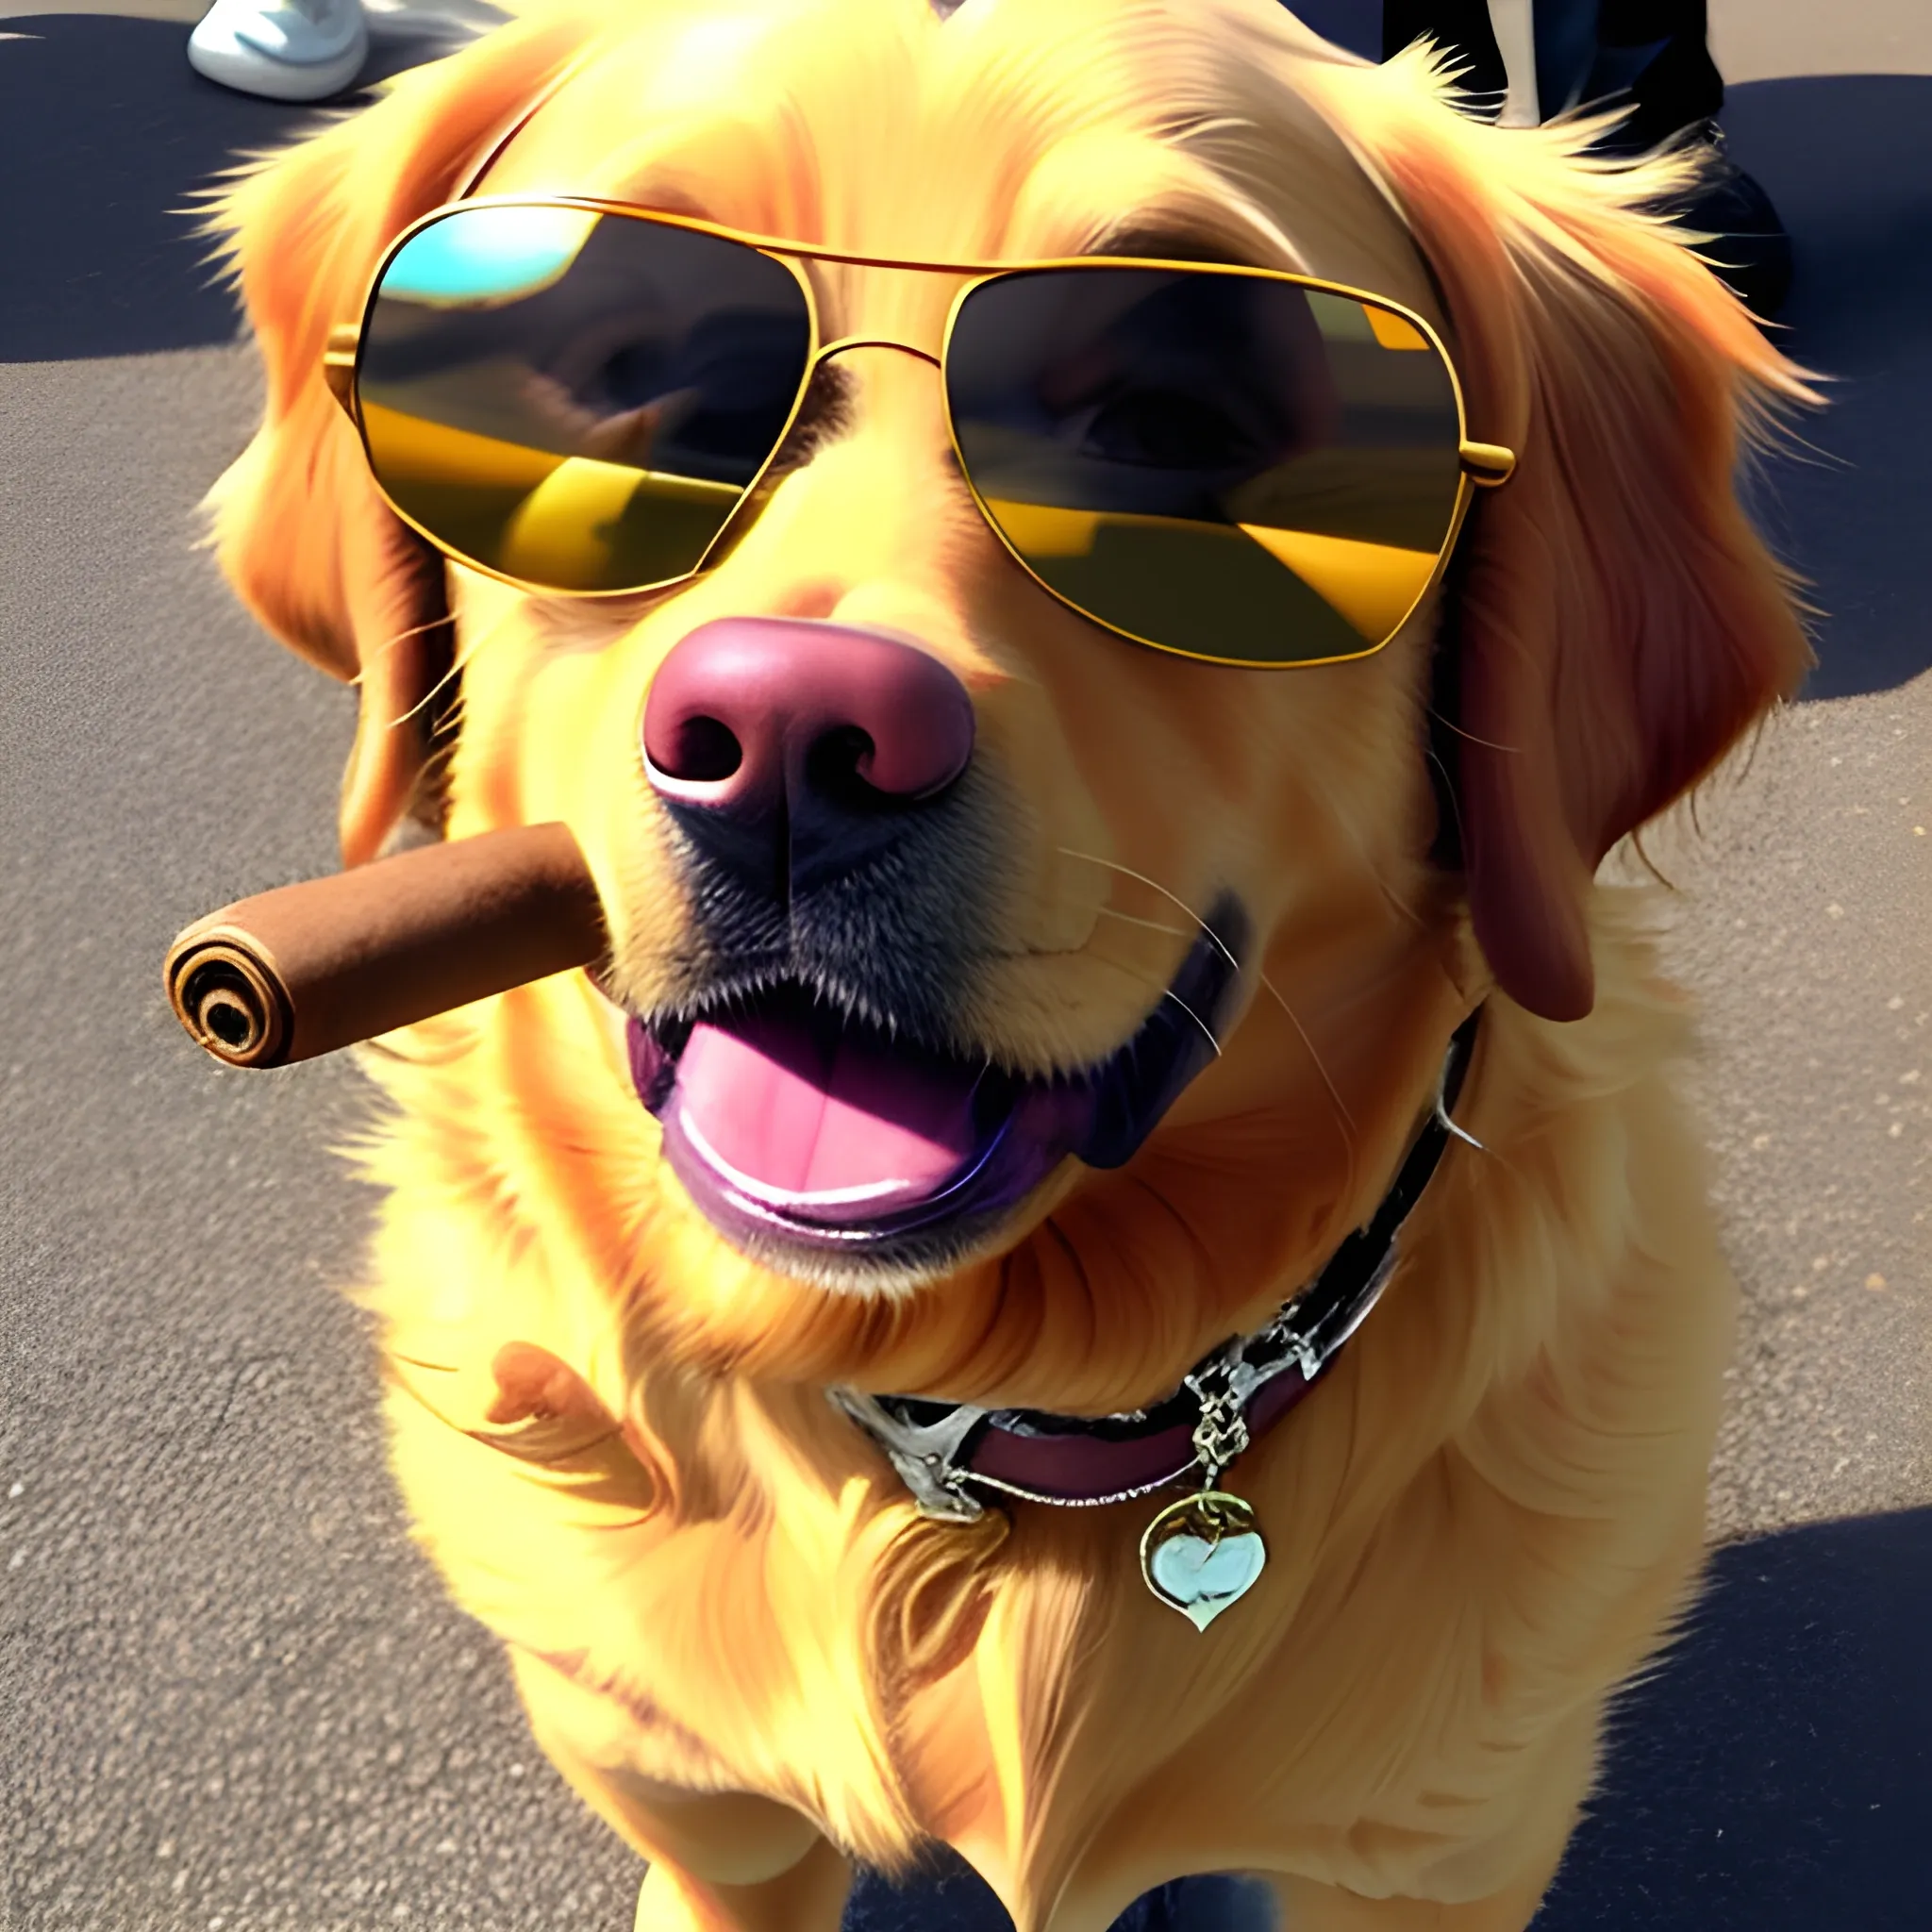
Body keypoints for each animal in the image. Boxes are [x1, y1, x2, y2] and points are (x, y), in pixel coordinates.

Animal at [208, 0, 1807, 1924]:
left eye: (1172, 424)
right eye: (639, 380)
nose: (791, 741)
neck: (993, 1432)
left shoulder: (1437, 1851)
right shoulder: (711, 1830)